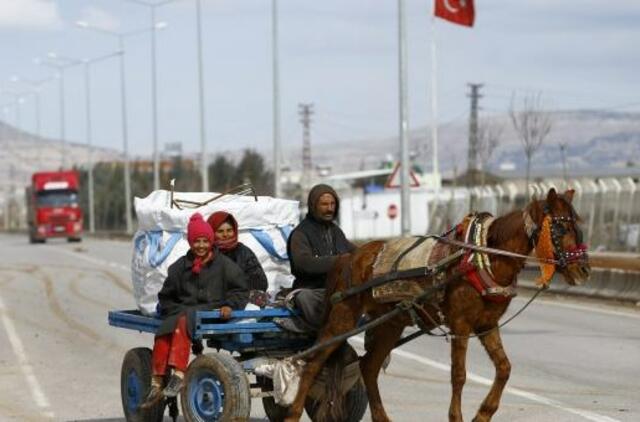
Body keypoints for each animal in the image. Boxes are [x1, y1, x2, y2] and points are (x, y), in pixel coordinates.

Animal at [284, 190, 592, 422]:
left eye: (578, 224)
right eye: (561, 226)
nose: (584, 270)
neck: (483, 257)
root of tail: (348, 257)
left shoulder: (487, 324)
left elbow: (504, 368)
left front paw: (483, 413)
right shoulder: (460, 324)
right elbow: (459, 375)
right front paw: (457, 417)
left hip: (390, 322)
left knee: (368, 366)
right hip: (343, 317)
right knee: (313, 363)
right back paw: (293, 413)